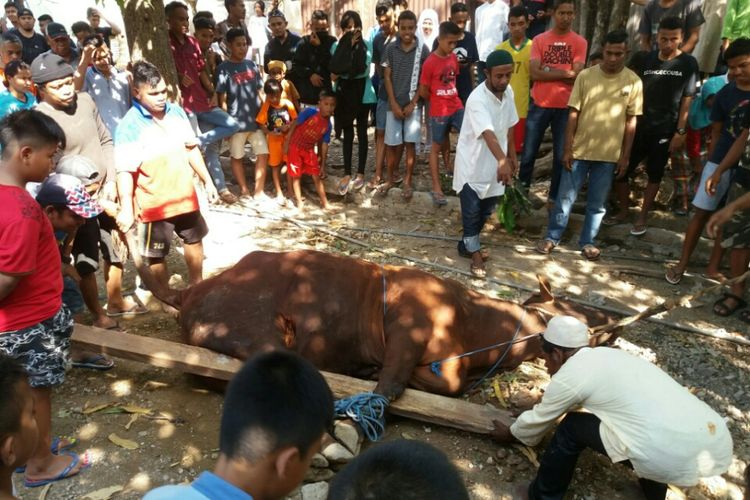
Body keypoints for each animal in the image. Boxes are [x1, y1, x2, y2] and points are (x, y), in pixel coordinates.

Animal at [141, 250, 616, 402]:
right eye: (571, 304)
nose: (612, 323)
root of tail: (190, 292)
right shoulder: (409, 329)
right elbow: (395, 382)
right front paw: (371, 375)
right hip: (264, 337)